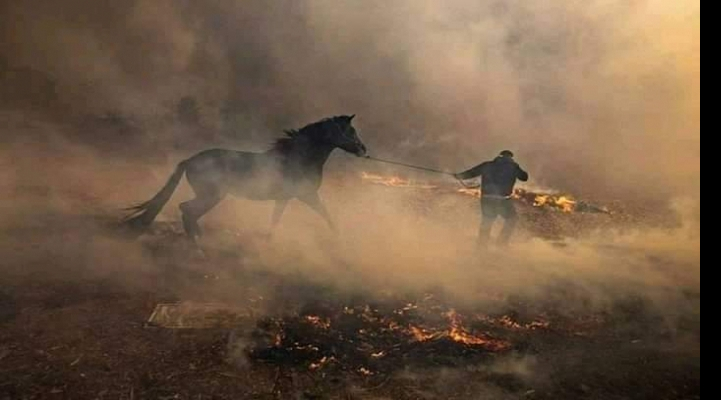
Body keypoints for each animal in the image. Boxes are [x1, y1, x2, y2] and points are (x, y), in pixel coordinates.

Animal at [123, 115, 366, 241]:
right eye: (350, 132)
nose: (363, 150)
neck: (298, 157)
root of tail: (190, 160)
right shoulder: (306, 195)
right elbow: (326, 215)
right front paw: (339, 239)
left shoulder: (287, 198)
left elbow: (276, 219)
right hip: (212, 195)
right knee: (187, 210)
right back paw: (198, 245)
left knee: (188, 212)